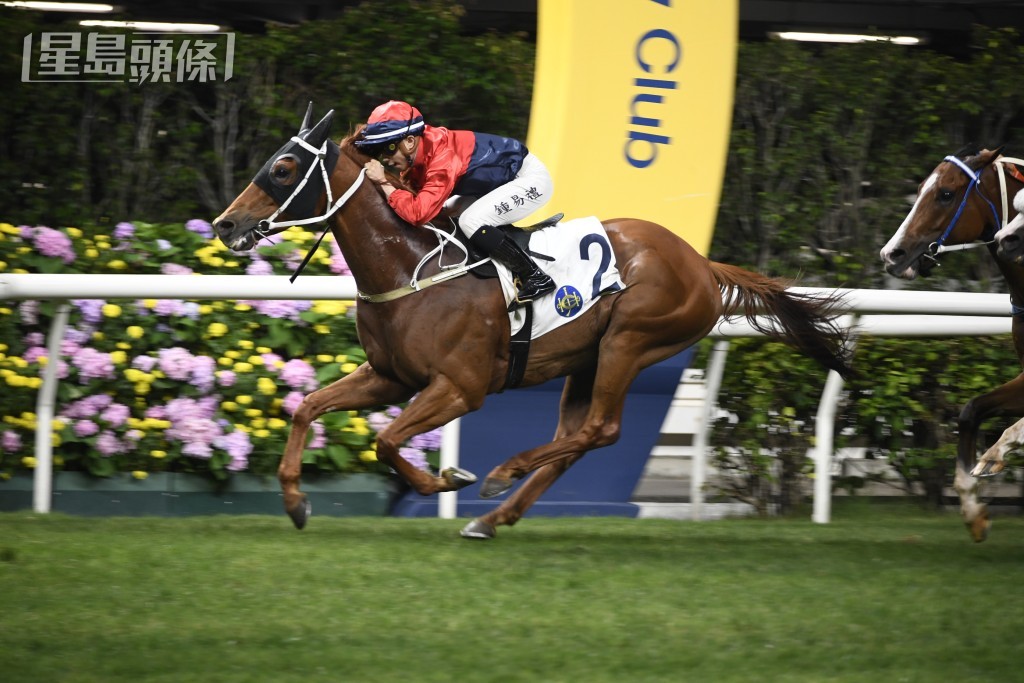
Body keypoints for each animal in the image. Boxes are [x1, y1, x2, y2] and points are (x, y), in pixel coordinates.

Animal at [212, 105, 853, 539]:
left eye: (284, 166)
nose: (225, 224)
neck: (412, 269)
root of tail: (700, 262)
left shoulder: (460, 387)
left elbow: (386, 441)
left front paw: (446, 481)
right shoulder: (389, 376)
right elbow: (307, 408)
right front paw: (295, 503)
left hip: (632, 340)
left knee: (601, 430)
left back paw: (500, 476)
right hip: (586, 361)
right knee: (576, 440)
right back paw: (492, 519)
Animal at [879, 146, 1024, 542]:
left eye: (946, 193)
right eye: (919, 190)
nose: (892, 254)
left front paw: (992, 456)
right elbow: (970, 410)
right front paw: (973, 509)